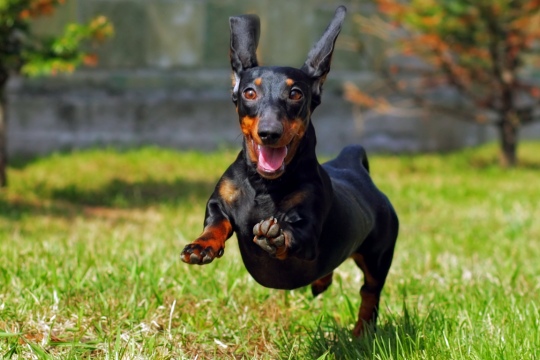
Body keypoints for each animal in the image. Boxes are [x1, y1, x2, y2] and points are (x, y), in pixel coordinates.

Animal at [181, 5, 396, 338]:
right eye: (249, 93)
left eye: (295, 93)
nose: (270, 133)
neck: (264, 185)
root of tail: (352, 164)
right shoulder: (219, 203)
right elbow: (216, 222)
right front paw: (201, 246)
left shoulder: (308, 227)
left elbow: (295, 236)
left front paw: (276, 236)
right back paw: (321, 282)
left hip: (378, 257)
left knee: (369, 293)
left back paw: (361, 333)